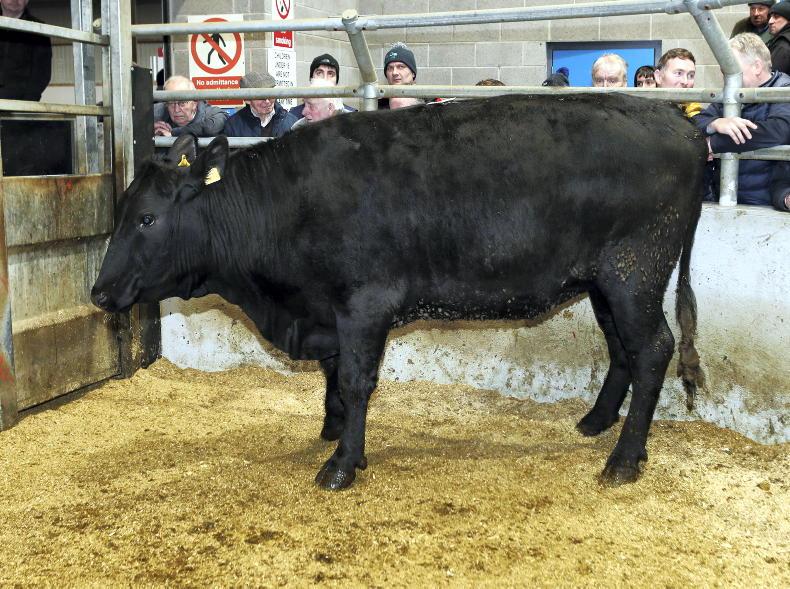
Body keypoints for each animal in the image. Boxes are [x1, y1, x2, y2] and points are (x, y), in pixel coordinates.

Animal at [92, 93, 706, 490]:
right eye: (121, 212)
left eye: (147, 219)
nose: (99, 293)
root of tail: (674, 118)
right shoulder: (328, 311)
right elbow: (334, 375)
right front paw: (331, 430)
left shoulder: (364, 304)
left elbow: (356, 380)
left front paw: (343, 462)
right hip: (607, 283)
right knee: (622, 349)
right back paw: (596, 423)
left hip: (634, 272)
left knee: (653, 348)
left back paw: (624, 460)